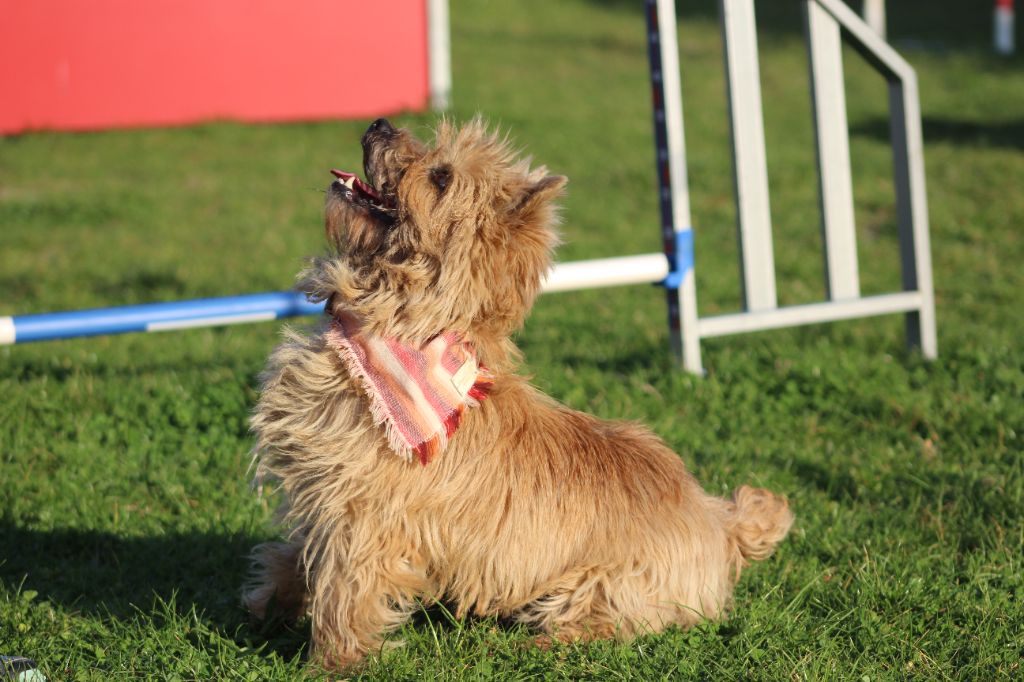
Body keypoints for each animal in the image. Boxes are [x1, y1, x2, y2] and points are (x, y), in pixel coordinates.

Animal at [243, 115, 794, 663]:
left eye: (440, 177)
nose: (380, 122)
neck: (400, 331)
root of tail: (720, 523)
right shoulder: (326, 493)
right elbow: (298, 556)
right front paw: (269, 604)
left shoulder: (365, 517)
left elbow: (344, 591)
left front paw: (333, 662)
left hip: (600, 583)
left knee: (610, 622)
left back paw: (546, 640)